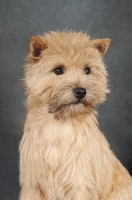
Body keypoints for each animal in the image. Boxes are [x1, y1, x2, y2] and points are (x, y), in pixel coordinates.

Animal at [19, 30, 131, 199]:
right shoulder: (32, 185)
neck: (59, 123)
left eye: (87, 70)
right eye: (58, 70)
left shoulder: (79, 183)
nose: (81, 91)